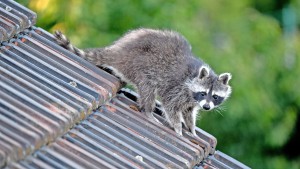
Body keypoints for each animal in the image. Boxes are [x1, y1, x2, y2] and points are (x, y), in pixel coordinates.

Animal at [54, 28, 232, 136]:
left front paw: (191, 127)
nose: (207, 107)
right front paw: (177, 127)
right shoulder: (178, 87)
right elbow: (171, 106)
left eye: (215, 96)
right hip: (140, 65)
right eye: (203, 93)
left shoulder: (191, 100)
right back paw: (148, 111)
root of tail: (120, 51)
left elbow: (189, 112)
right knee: (148, 88)